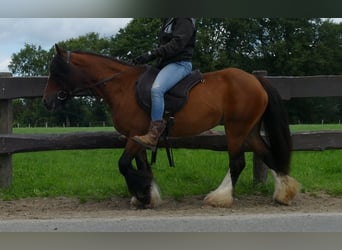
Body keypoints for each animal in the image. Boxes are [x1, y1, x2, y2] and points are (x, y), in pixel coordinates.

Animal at [44, 44, 300, 207]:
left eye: (56, 71)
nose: (47, 102)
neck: (122, 86)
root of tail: (255, 78)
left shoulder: (136, 134)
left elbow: (124, 165)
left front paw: (143, 194)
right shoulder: (137, 137)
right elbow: (141, 165)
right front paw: (147, 194)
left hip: (236, 129)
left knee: (237, 162)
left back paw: (220, 197)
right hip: (249, 130)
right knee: (268, 155)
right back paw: (284, 194)